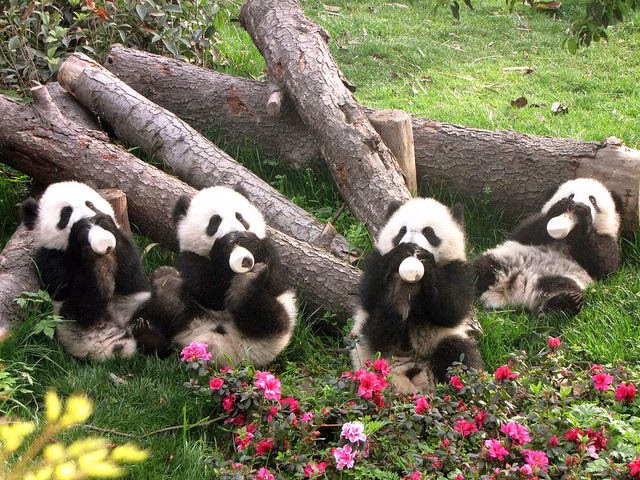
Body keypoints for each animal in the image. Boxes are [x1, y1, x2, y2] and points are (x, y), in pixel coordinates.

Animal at [21, 181, 150, 360]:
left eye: (90, 204)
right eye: (65, 213)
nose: (88, 218)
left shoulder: (126, 247)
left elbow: (133, 277)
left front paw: (104, 223)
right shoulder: (48, 258)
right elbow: (65, 288)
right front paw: (82, 234)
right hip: (72, 327)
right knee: (81, 306)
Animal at [134, 186, 298, 367]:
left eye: (240, 217)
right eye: (215, 221)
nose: (233, 232)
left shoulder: (271, 256)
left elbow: (272, 276)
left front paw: (246, 242)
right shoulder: (186, 259)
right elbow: (210, 291)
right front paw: (223, 249)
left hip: (281, 324)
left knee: (264, 317)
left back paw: (246, 286)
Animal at [350, 197, 483, 394]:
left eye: (429, 232)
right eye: (402, 231)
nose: (412, 245)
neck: (412, 285)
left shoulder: (458, 270)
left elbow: (451, 309)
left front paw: (425, 260)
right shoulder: (377, 260)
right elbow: (369, 294)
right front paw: (400, 255)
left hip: (440, 340)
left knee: (458, 353)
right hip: (366, 346)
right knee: (377, 332)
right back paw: (396, 302)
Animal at [474, 177, 622, 316]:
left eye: (592, 200)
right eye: (571, 196)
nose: (575, 205)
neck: (567, 238)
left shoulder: (608, 239)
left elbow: (603, 262)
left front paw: (583, 215)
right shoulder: (525, 235)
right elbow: (525, 231)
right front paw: (559, 207)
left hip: (561, 277)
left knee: (560, 288)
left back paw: (568, 301)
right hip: (503, 257)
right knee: (478, 268)